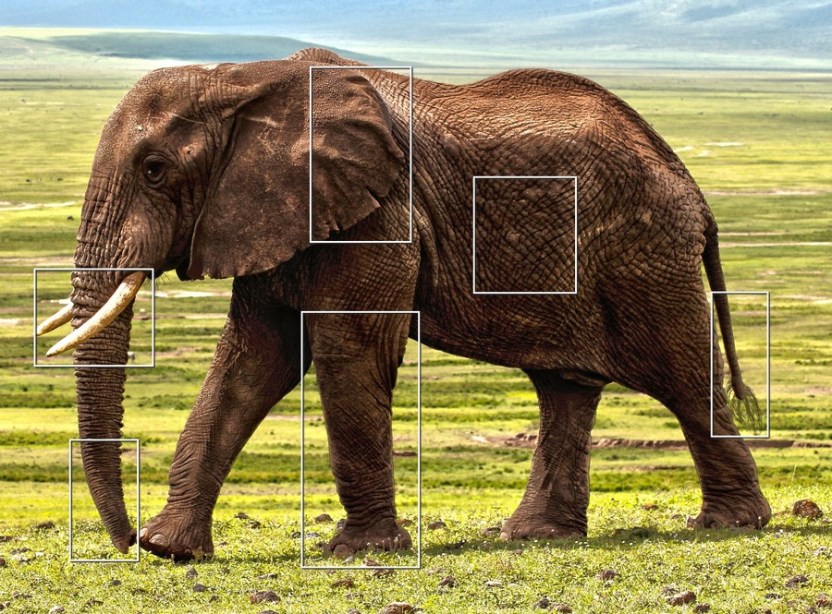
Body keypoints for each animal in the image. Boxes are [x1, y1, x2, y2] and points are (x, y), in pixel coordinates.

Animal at [38, 47, 771, 560]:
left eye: (154, 169)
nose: (125, 541)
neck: (243, 80)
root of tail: (692, 186)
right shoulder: (274, 215)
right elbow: (252, 362)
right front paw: (172, 551)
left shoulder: (380, 215)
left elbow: (347, 351)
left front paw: (356, 553)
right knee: (565, 386)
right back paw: (537, 537)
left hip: (645, 252)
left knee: (681, 375)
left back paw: (730, 525)